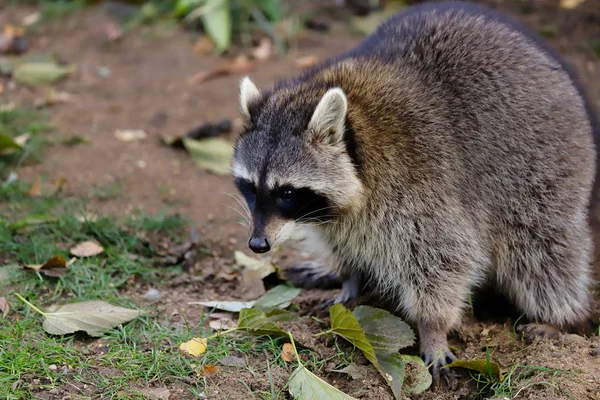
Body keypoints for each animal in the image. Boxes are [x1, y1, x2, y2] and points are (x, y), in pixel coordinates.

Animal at [230, 0, 596, 382]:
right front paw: (349, 278)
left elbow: (445, 260)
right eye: (250, 187)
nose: (258, 245)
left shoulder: (420, 186)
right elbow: (346, 244)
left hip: (542, 169)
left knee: (542, 252)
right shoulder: (333, 216)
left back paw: (563, 318)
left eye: (286, 193)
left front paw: (433, 328)